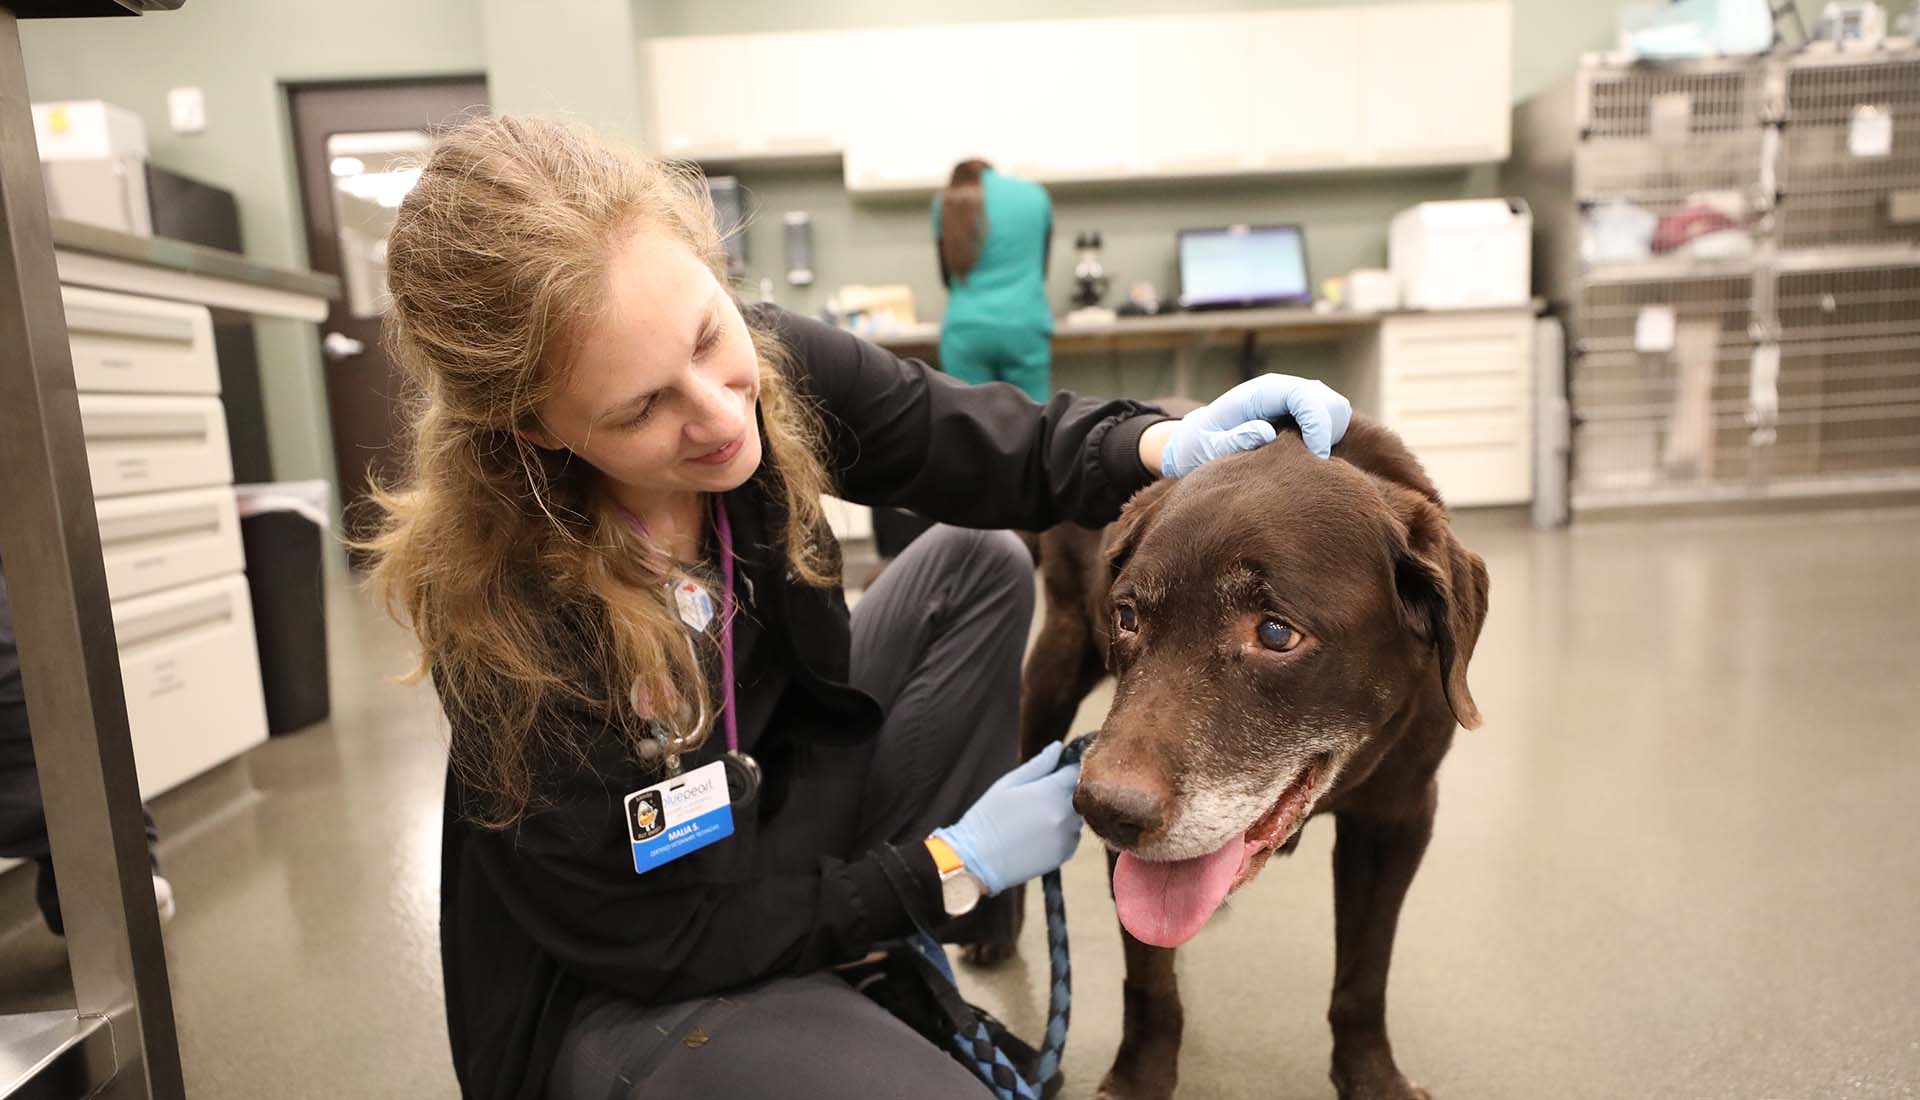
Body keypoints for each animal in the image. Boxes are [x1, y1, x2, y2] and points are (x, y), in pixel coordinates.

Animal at [1021, 414, 1482, 1098]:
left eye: (1276, 633)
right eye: (1126, 616)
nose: (1106, 811)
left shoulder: (1398, 818)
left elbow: (1365, 975)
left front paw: (1372, 1077)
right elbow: (1151, 984)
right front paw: (1139, 1079)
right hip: (1055, 664)